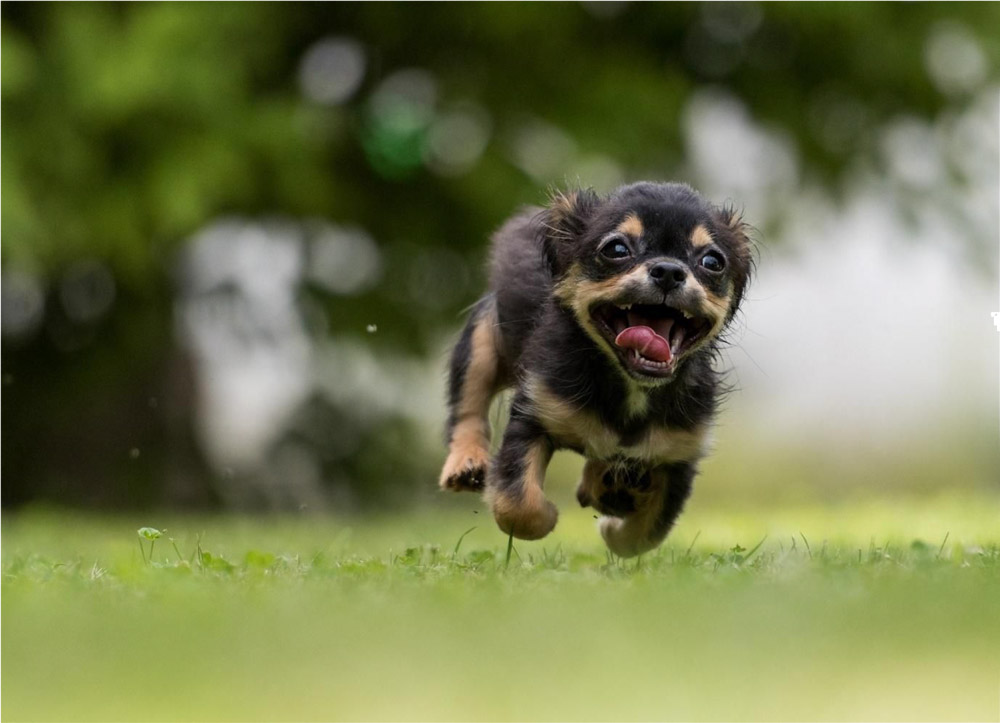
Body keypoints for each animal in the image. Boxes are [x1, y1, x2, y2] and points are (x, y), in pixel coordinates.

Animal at [438, 184, 752, 556]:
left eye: (712, 262)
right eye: (616, 249)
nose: (668, 271)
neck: (630, 385)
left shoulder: (678, 455)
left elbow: (643, 535)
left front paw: (612, 525)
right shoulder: (534, 414)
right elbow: (518, 506)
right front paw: (548, 515)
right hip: (482, 342)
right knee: (468, 406)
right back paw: (466, 463)